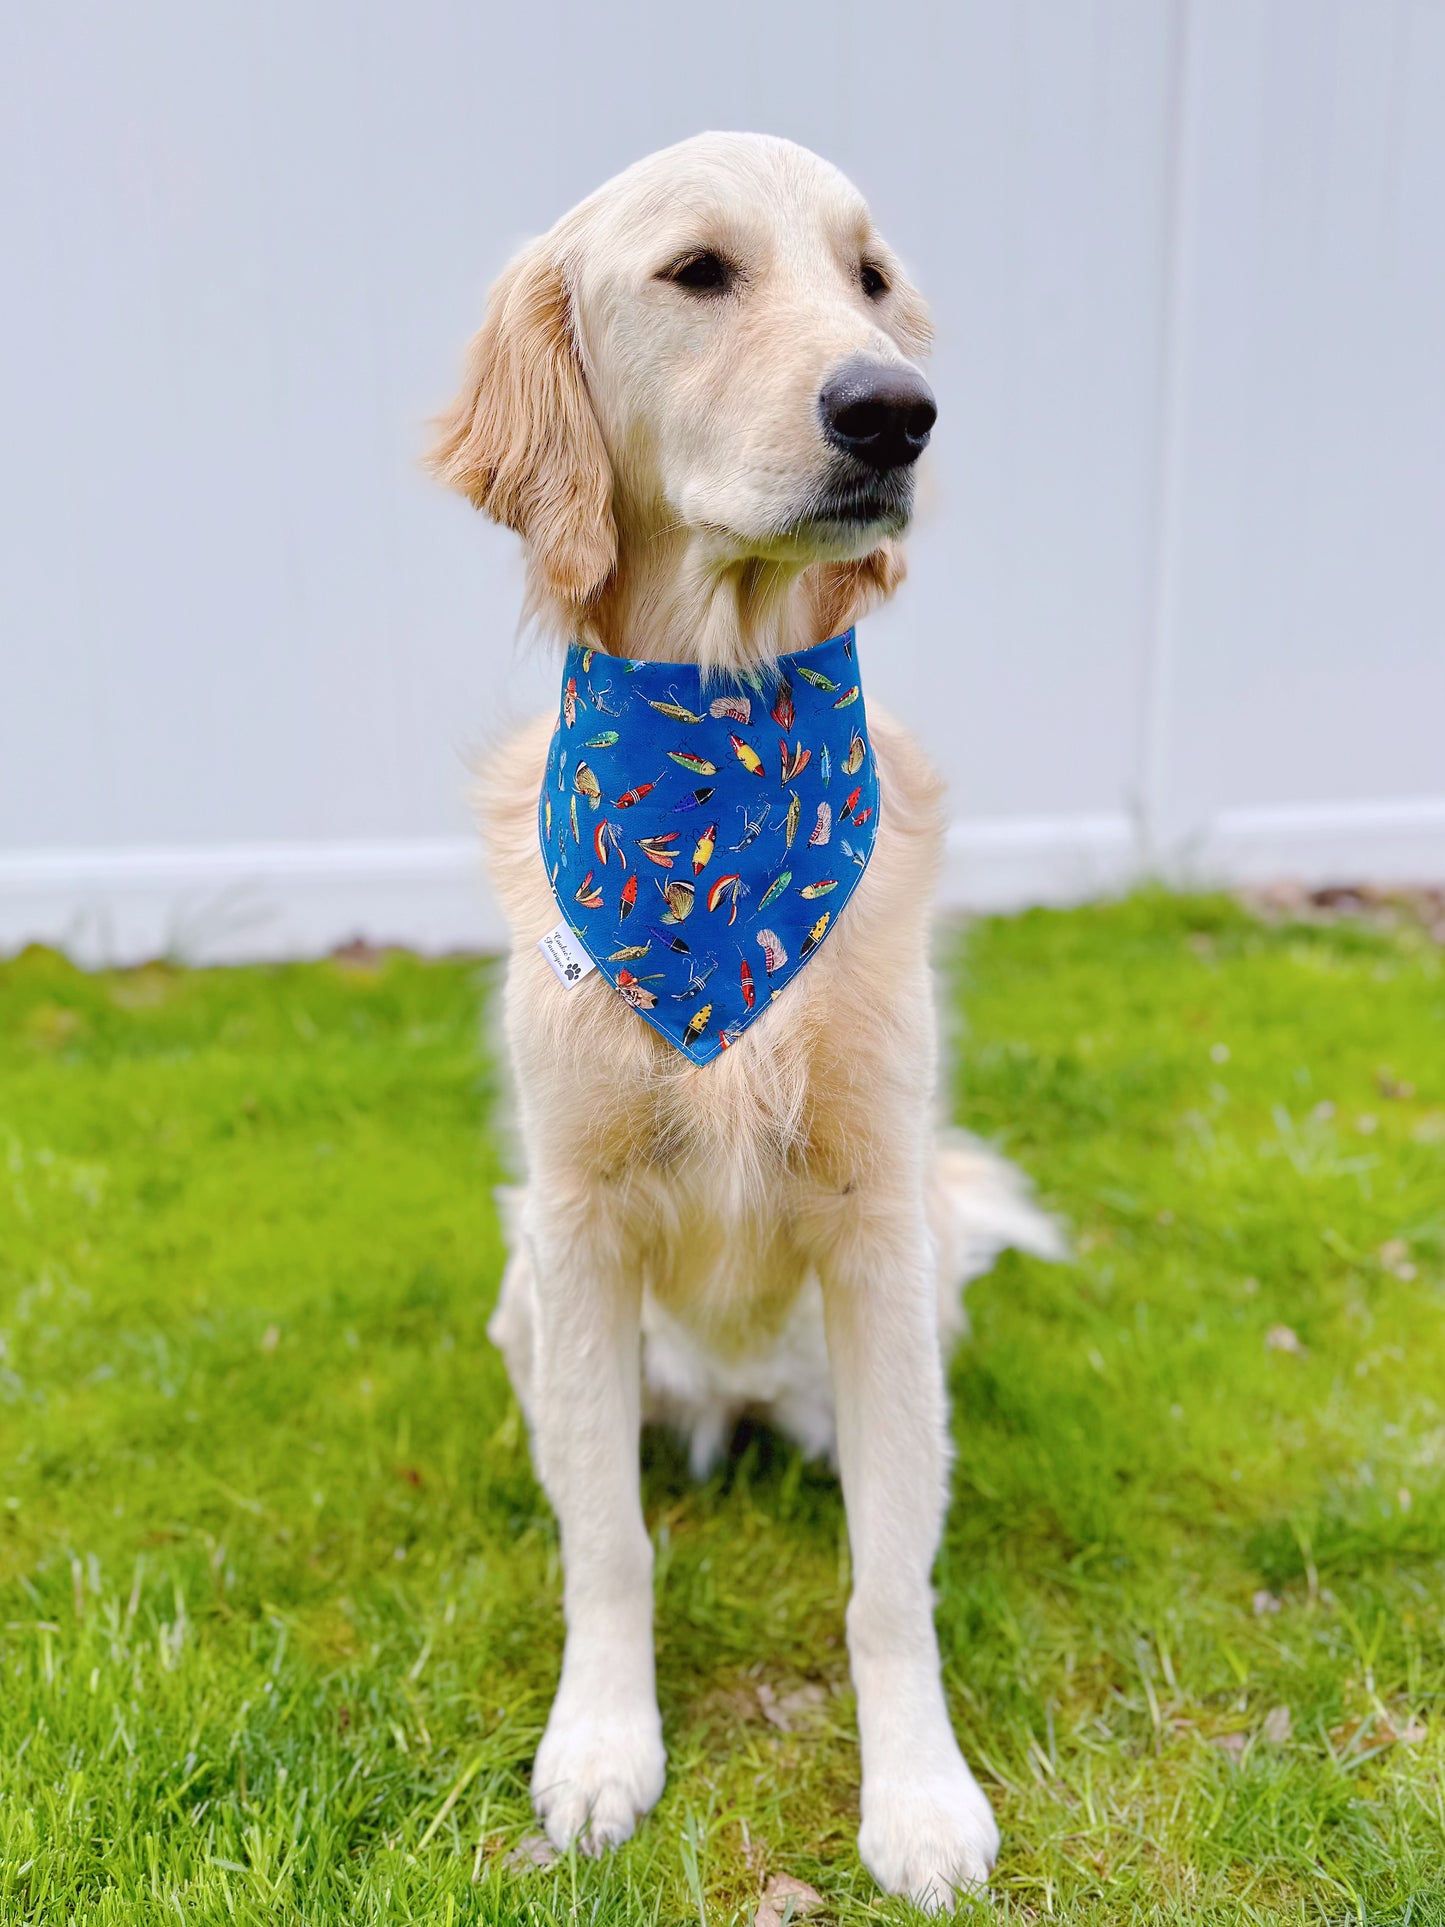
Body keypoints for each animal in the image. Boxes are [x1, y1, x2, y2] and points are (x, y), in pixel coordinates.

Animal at [423, 131, 1055, 1911]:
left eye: (870, 279)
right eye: (698, 272)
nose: (894, 411)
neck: (719, 765)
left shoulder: (875, 1222)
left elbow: (889, 1574)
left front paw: (918, 1795)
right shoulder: (575, 1224)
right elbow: (608, 1542)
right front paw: (600, 1745)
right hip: (524, 1294)